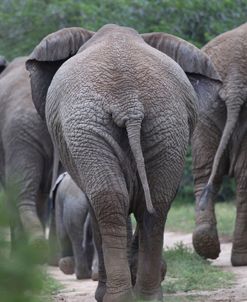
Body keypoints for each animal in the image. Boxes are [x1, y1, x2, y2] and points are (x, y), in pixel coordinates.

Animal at [26, 24, 220, 300]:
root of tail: (129, 100)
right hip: (165, 123)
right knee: (155, 204)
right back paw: (147, 296)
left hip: (88, 127)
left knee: (109, 203)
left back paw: (116, 296)